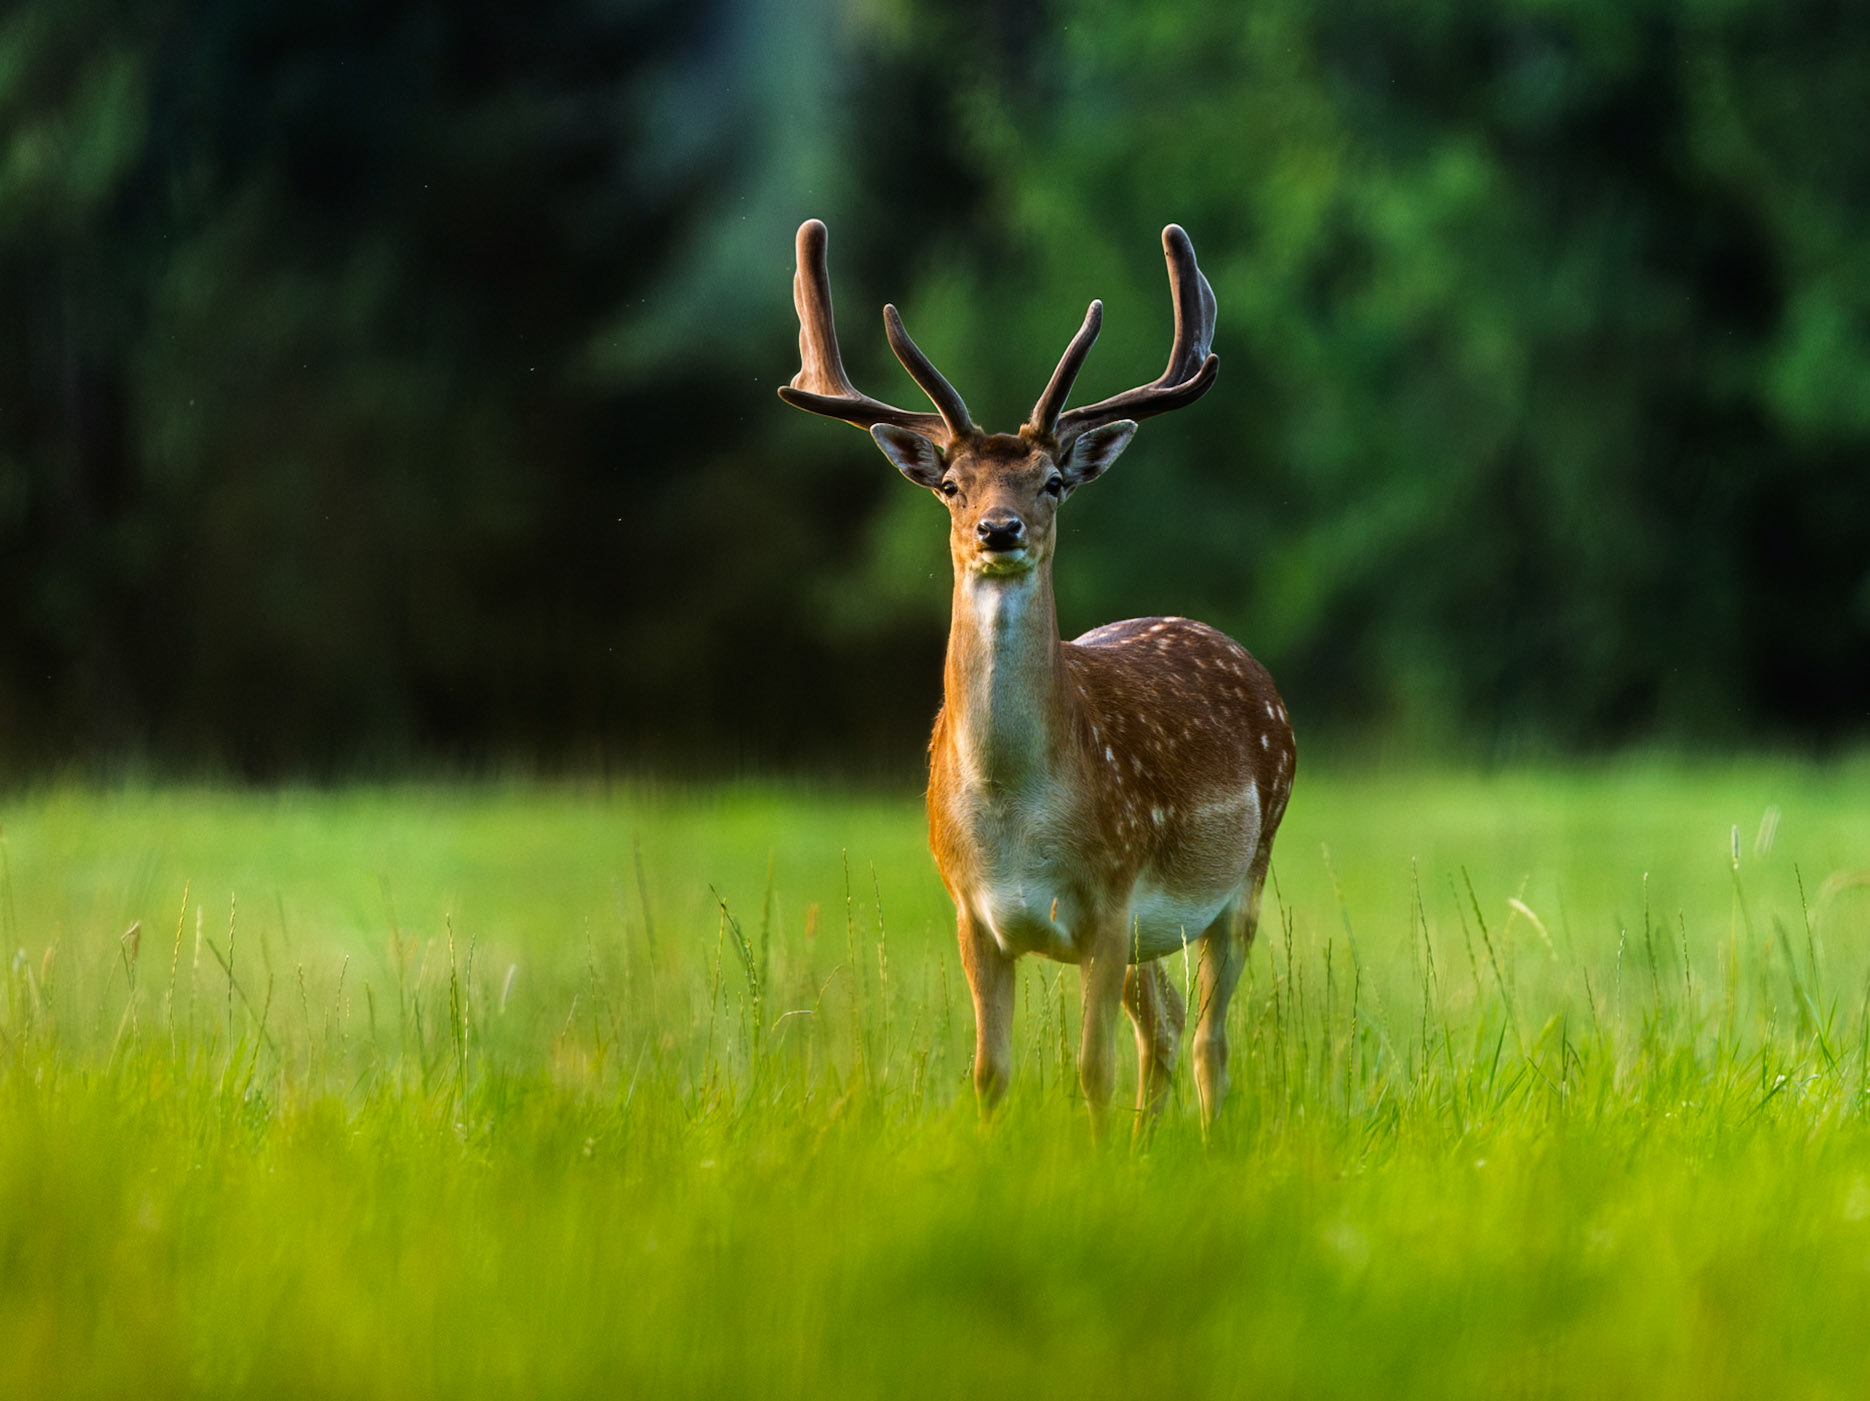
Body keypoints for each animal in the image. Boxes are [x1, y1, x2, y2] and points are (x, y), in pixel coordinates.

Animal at [778, 218, 1295, 1140]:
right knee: (1166, 1027)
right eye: (952, 484)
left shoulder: (1111, 895)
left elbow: (1091, 1068)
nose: (999, 527)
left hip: (1248, 864)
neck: (1015, 811)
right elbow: (991, 1072)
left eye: (1051, 480)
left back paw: (1207, 1143)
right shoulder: (972, 913)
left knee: (1209, 1040)